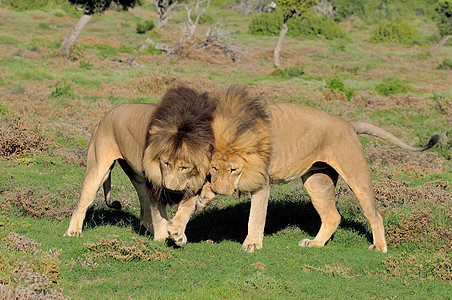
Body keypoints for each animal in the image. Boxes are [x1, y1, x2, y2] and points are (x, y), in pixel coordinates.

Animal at [65, 85, 217, 240]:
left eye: (184, 167)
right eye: (166, 163)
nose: (170, 190)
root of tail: (105, 115)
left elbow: (187, 205)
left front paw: (177, 233)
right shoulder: (155, 181)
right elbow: (159, 214)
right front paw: (162, 238)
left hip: (136, 175)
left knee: (144, 209)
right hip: (98, 168)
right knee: (81, 203)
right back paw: (73, 231)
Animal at [169, 85, 438, 252]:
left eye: (234, 170)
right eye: (214, 167)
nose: (222, 192)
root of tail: (348, 123)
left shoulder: (261, 178)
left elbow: (256, 215)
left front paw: (252, 244)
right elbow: (188, 202)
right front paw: (177, 231)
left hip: (356, 174)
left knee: (374, 213)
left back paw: (380, 246)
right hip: (317, 181)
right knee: (332, 216)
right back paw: (316, 244)